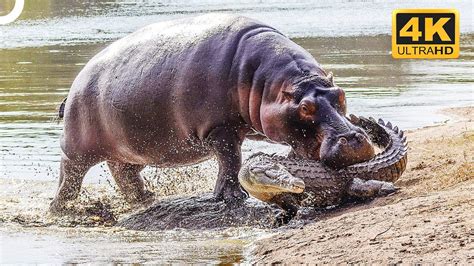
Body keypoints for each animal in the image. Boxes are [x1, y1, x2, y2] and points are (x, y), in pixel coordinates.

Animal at [50, 14, 376, 214]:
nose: (354, 138)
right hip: (78, 147)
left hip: (133, 149)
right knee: (70, 175)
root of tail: (75, 84)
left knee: (124, 173)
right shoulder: (220, 129)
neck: (268, 83)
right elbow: (231, 160)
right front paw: (232, 197)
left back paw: (147, 198)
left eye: (341, 95)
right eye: (306, 108)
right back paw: (61, 208)